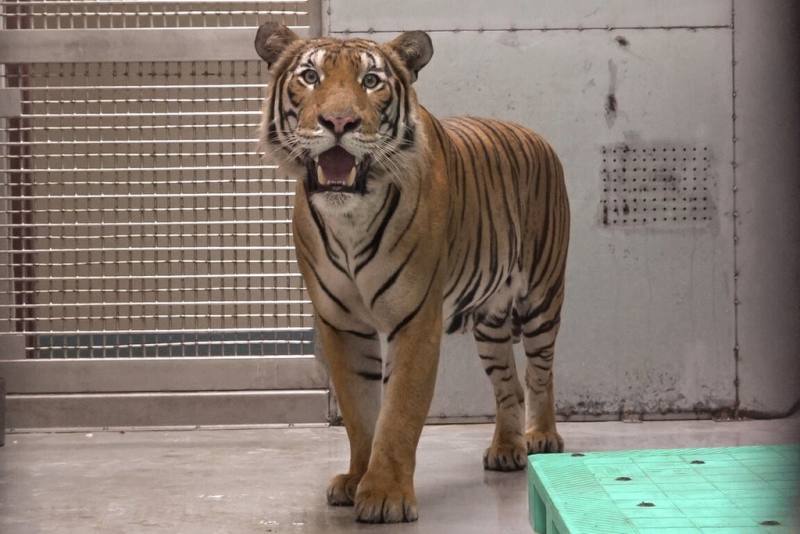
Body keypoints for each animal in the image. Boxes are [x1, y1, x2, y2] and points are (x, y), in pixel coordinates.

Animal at [254, 23, 570, 523]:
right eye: (310, 76)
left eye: (370, 81)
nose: (338, 123)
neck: (350, 216)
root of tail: (532, 132)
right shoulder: (341, 324)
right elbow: (360, 411)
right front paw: (356, 478)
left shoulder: (416, 319)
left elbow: (399, 411)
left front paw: (385, 494)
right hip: (490, 324)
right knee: (509, 384)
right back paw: (506, 449)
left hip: (542, 296)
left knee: (540, 372)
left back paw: (541, 436)